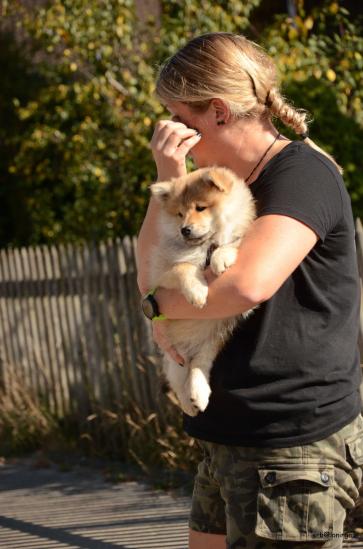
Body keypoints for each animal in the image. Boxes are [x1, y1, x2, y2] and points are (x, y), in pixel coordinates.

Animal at [149, 167, 258, 416]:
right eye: (179, 214)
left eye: (200, 207)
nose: (185, 230)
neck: (204, 247)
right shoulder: (160, 276)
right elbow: (183, 267)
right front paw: (197, 292)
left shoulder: (241, 238)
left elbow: (232, 243)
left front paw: (221, 258)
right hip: (175, 357)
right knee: (179, 380)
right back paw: (190, 404)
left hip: (213, 339)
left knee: (198, 366)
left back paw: (198, 393)